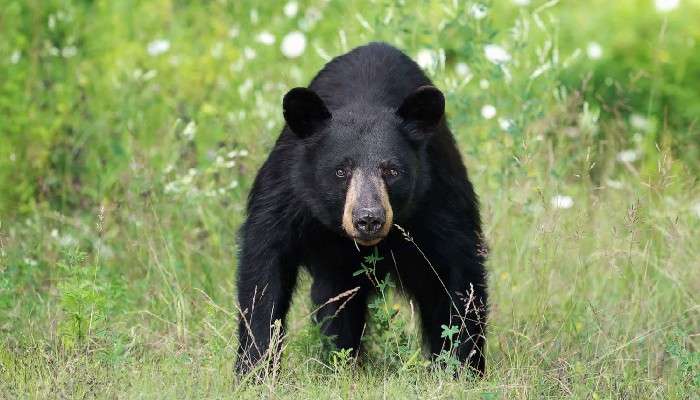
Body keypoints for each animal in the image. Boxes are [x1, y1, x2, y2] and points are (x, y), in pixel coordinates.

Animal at [235, 42, 486, 376]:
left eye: (392, 171)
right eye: (341, 171)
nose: (368, 219)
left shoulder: (438, 195)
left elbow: (459, 274)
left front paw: (463, 369)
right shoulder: (289, 192)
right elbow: (264, 273)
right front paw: (253, 370)